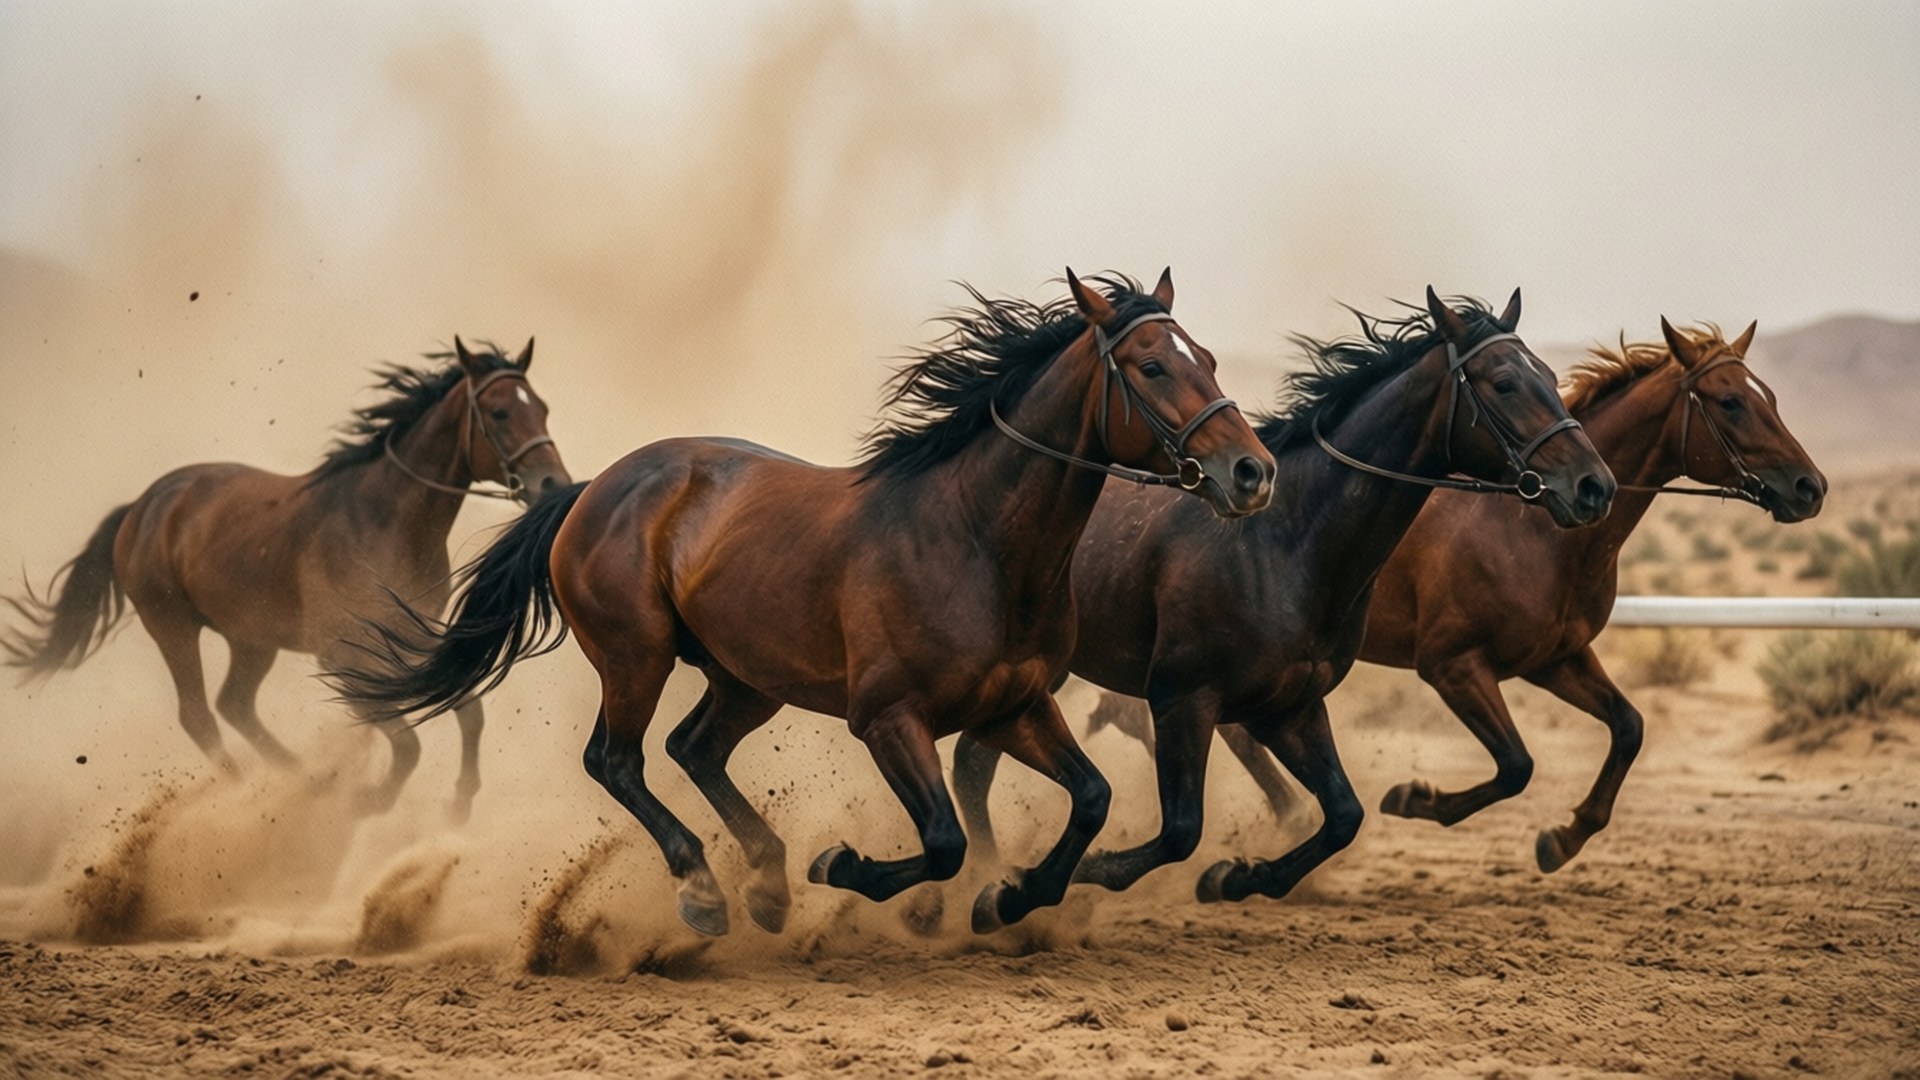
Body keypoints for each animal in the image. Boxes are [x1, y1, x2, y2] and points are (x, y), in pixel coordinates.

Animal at [4, 339, 570, 822]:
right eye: (499, 412)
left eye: (543, 408)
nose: (551, 484)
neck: (382, 520)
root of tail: (142, 507)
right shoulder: (340, 655)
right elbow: (408, 743)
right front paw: (370, 799)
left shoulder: (414, 639)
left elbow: (467, 712)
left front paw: (458, 805)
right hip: (172, 626)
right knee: (199, 715)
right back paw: (255, 792)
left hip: (251, 639)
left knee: (233, 704)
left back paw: (301, 780)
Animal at [328, 270, 1277, 937]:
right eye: (1152, 364)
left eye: (1209, 360)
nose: (1252, 472)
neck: (978, 540)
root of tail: (590, 490)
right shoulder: (889, 719)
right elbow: (943, 841)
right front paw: (843, 867)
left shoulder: (1017, 706)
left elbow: (1090, 798)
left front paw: (1010, 899)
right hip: (637, 656)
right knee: (617, 760)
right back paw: (709, 894)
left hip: (747, 677)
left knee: (693, 747)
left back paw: (766, 883)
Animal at [952, 288, 1616, 904]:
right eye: (1505, 382)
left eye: (1549, 374)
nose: (1595, 486)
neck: (1288, 543)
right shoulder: (1182, 697)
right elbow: (1180, 831)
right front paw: (1065, 877)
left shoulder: (1289, 704)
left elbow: (1344, 814)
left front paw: (1238, 877)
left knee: (972, 768)